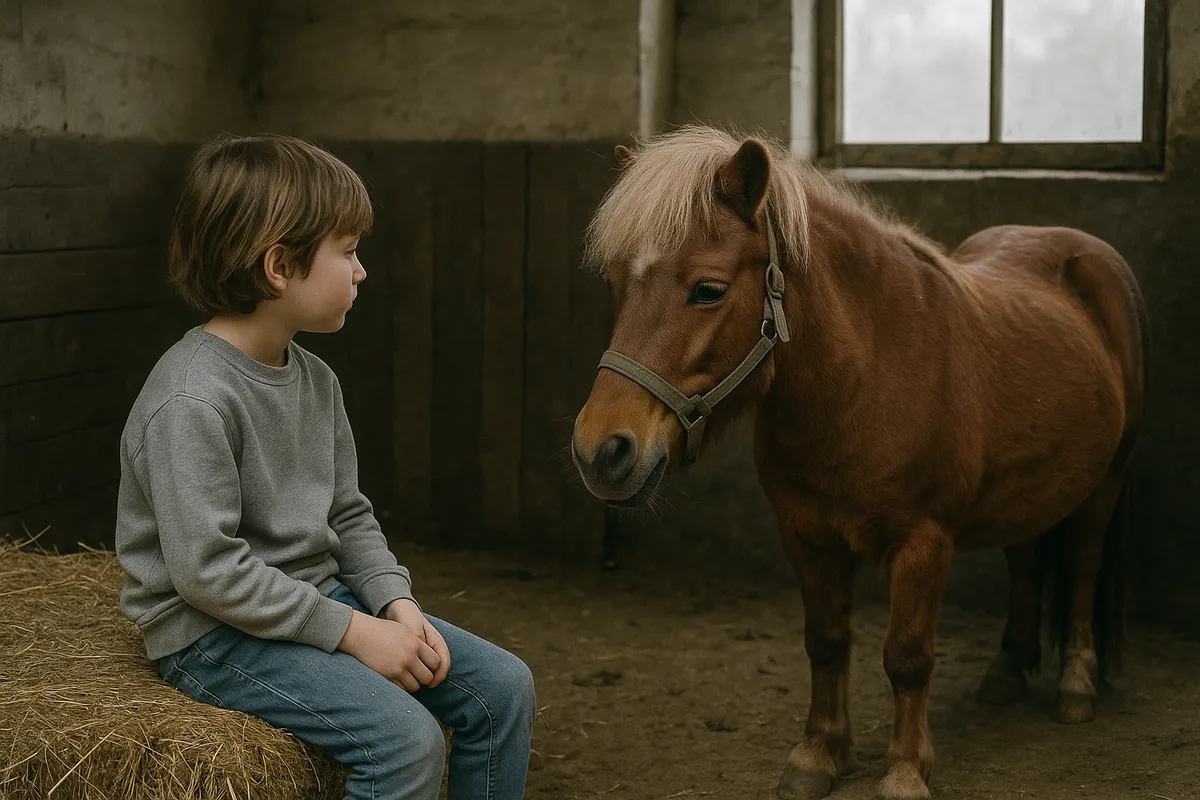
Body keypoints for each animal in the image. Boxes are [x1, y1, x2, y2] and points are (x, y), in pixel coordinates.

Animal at [569, 125, 1147, 800]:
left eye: (707, 290)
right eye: (615, 285)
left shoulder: (924, 542)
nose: (601, 451)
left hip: (1106, 483)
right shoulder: (806, 535)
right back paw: (1006, 672)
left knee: (1082, 567)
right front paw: (819, 755)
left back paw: (1076, 687)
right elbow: (826, 641)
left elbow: (907, 656)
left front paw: (905, 770)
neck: (866, 377)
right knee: (1026, 558)